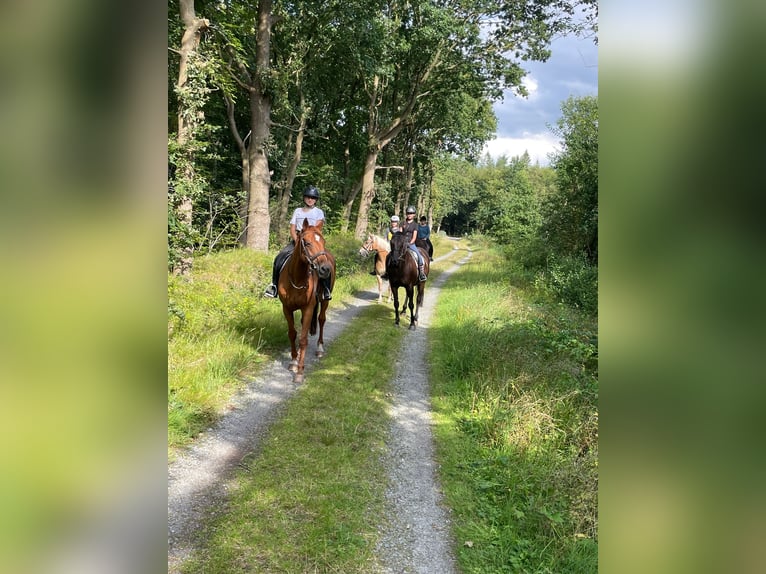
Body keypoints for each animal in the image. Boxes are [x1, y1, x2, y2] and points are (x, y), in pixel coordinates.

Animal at [278, 223, 334, 384]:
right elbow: (292, 334)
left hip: (324, 300)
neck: (297, 278)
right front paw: (293, 362)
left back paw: (319, 349)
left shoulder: (308, 308)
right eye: (307, 243)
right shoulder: (286, 308)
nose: (325, 269)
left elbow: (303, 339)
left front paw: (300, 372)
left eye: (323, 241)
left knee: (321, 319)